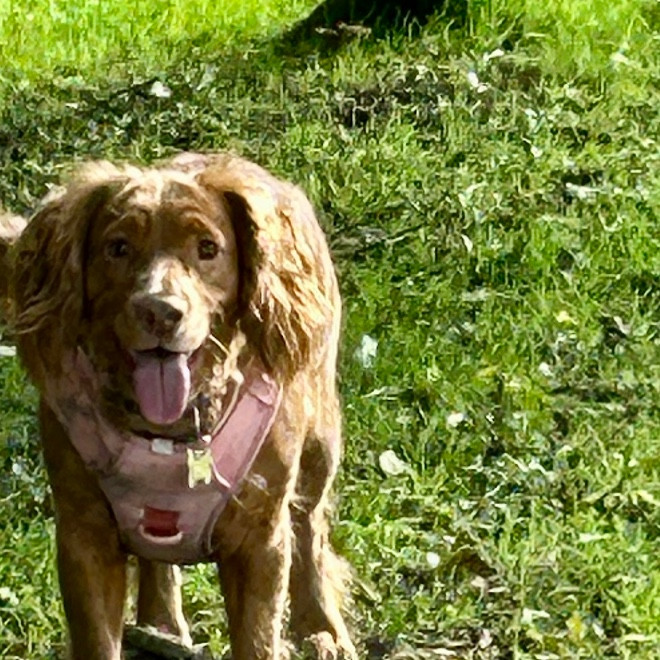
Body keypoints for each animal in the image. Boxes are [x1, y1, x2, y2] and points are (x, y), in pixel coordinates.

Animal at [12, 152, 356, 659]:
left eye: (208, 248)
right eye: (117, 247)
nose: (160, 311)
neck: (169, 430)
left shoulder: (259, 540)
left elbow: (259, 635)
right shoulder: (83, 533)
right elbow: (98, 637)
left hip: (320, 441)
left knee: (310, 527)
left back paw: (321, 628)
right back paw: (162, 625)